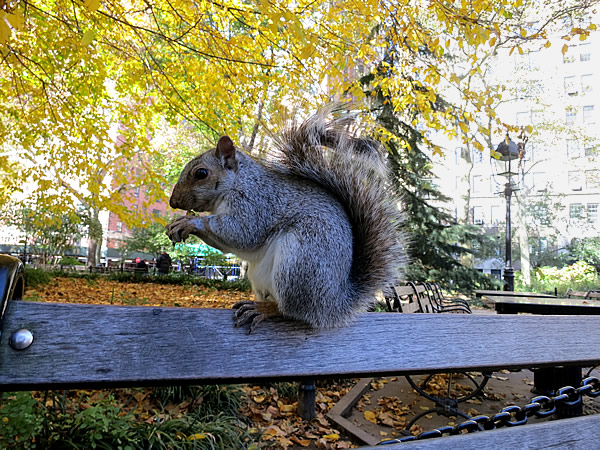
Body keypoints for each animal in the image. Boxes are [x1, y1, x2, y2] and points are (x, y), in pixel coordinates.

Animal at [166, 104, 406, 330]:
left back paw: (265, 309)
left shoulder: (257, 204)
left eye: (201, 173)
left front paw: (189, 222)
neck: (238, 183)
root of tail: (334, 305)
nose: (173, 203)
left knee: (291, 311)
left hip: (300, 259)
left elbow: (241, 233)